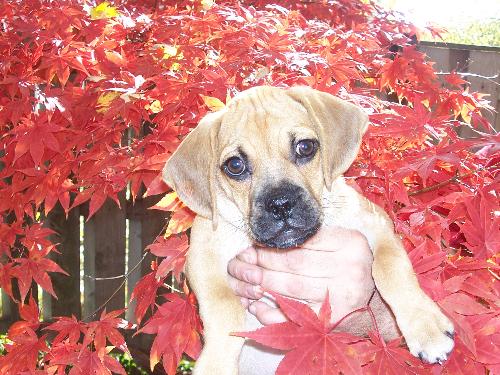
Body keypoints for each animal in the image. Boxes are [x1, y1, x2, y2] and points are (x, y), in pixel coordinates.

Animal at [162, 86, 456, 375]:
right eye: (235, 166)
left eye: (305, 147)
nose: (281, 204)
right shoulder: (203, 256)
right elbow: (224, 304)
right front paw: (217, 363)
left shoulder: (376, 223)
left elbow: (389, 266)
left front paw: (426, 326)